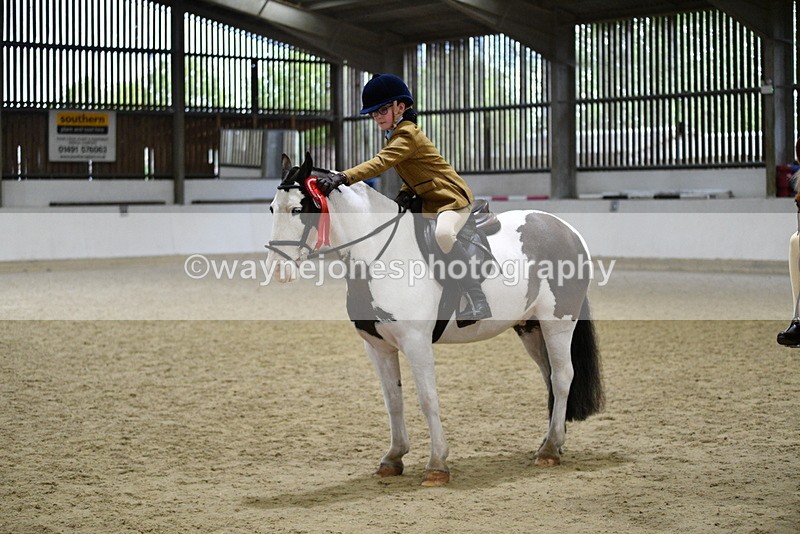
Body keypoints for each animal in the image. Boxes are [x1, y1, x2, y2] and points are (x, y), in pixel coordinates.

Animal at [265, 153, 604, 487]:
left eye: (298, 209)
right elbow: (393, 400)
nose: (278, 271)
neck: (379, 256)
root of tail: (567, 229)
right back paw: (550, 442)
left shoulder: (417, 343)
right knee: (549, 377)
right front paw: (393, 457)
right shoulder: (378, 347)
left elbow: (428, 399)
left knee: (562, 377)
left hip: (558, 322)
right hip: (530, 328)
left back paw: (550, 450)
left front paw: (437, 464)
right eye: (271, 209)